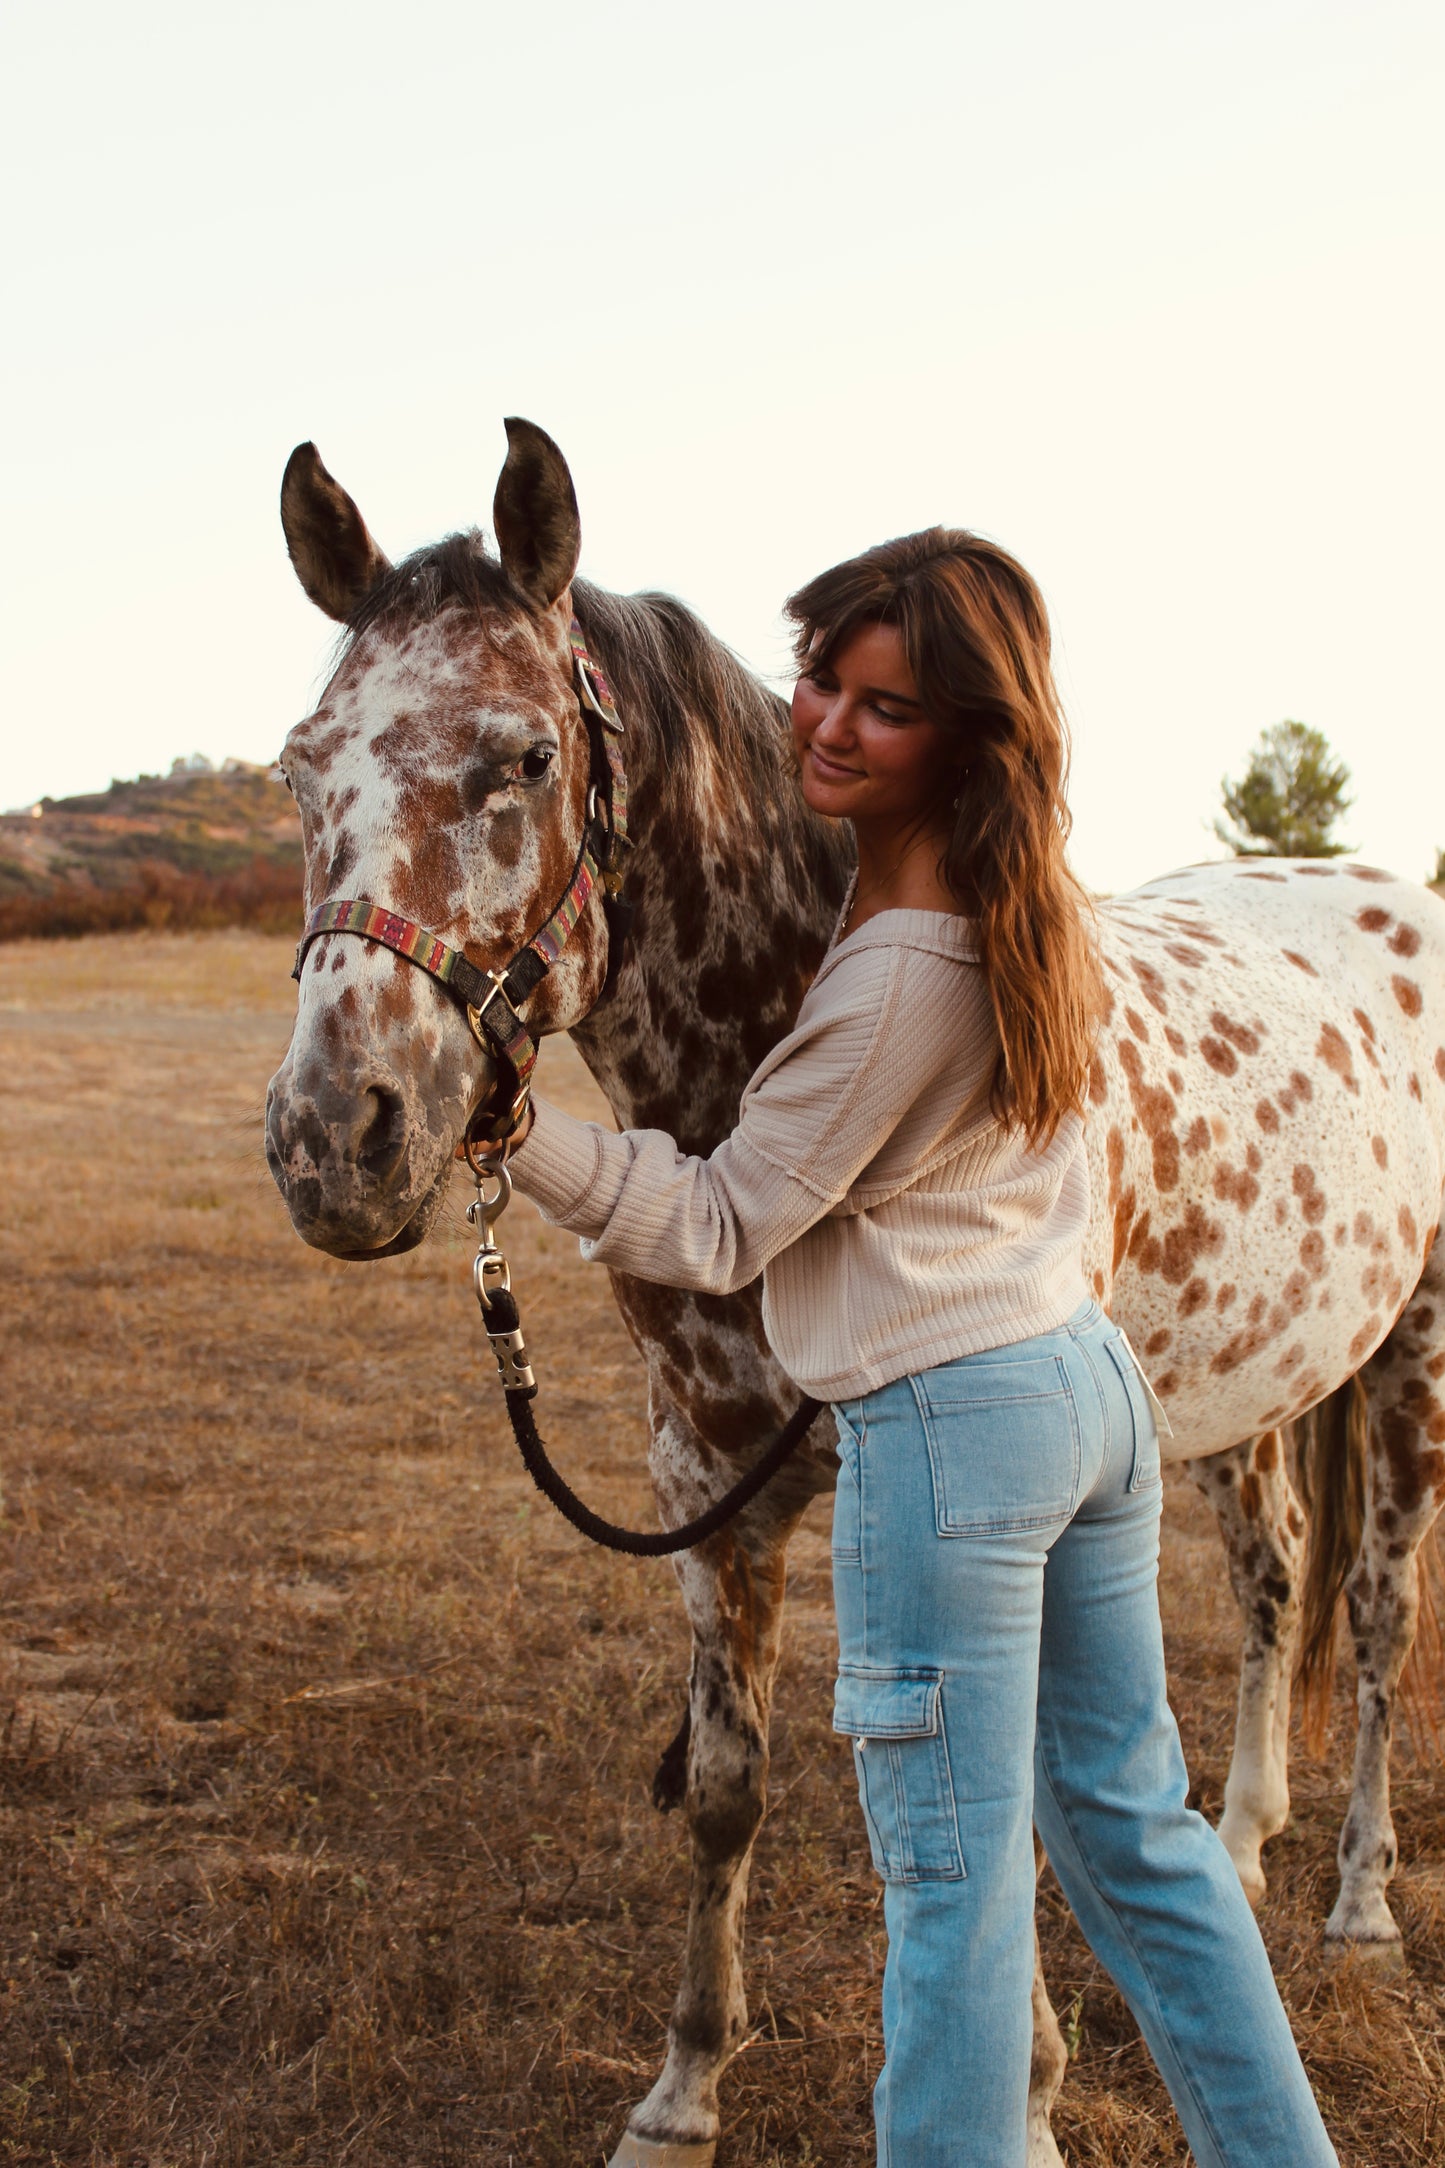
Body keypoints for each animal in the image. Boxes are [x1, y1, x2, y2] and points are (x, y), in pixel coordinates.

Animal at [265, 422, 1445, 2168]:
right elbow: (729, 1784)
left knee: (1371, 1613)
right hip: (1252, 1391)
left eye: (526, 759)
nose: (335, 1140)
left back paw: (1359, 1901)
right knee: (1274, 1581)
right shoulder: (706, 1481)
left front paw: (1025, 2093)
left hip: (1412, 1364)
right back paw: (1237, 1840)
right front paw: (685, 2086)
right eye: (301, 769)